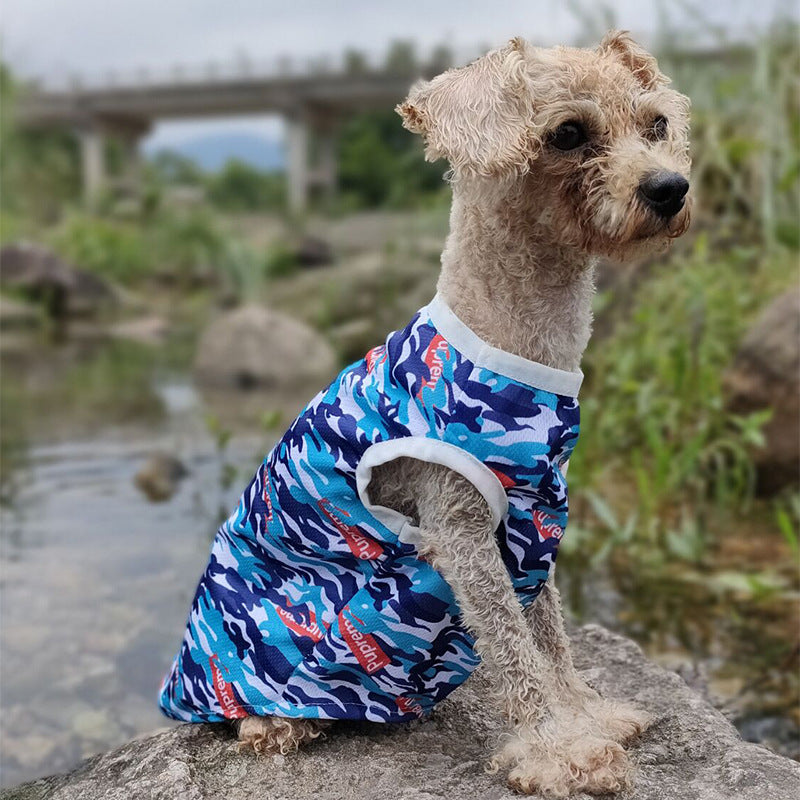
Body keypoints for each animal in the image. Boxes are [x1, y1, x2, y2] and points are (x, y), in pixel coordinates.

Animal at [159, 28, 692, 796]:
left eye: (656, 126)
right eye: (567, 133)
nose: (671, 188)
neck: (517, 346)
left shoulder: (531, 522)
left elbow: (548, 634)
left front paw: (586, 716)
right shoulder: (460, 529)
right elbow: (513, 647)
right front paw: (556, 750)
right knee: (242, 707)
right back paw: (275, 722)